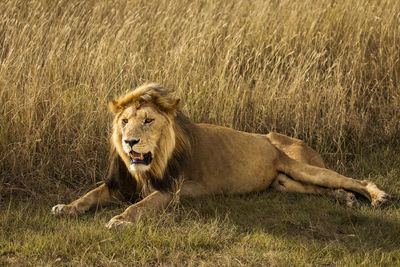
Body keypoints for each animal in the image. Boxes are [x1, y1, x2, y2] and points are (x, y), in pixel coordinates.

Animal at [51, 83, 390, 228]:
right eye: (124, 121)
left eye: (147, 120)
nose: (129, 142)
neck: (146, 166)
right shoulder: (119, 186)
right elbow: (88, 196)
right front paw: (65, 208)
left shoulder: (169, 191)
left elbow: (140, 207)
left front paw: (120, 220)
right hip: (285, 183)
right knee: (323, 188)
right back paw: (345, 199)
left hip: (299, 166)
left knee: (355, 179)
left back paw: (378, 197)